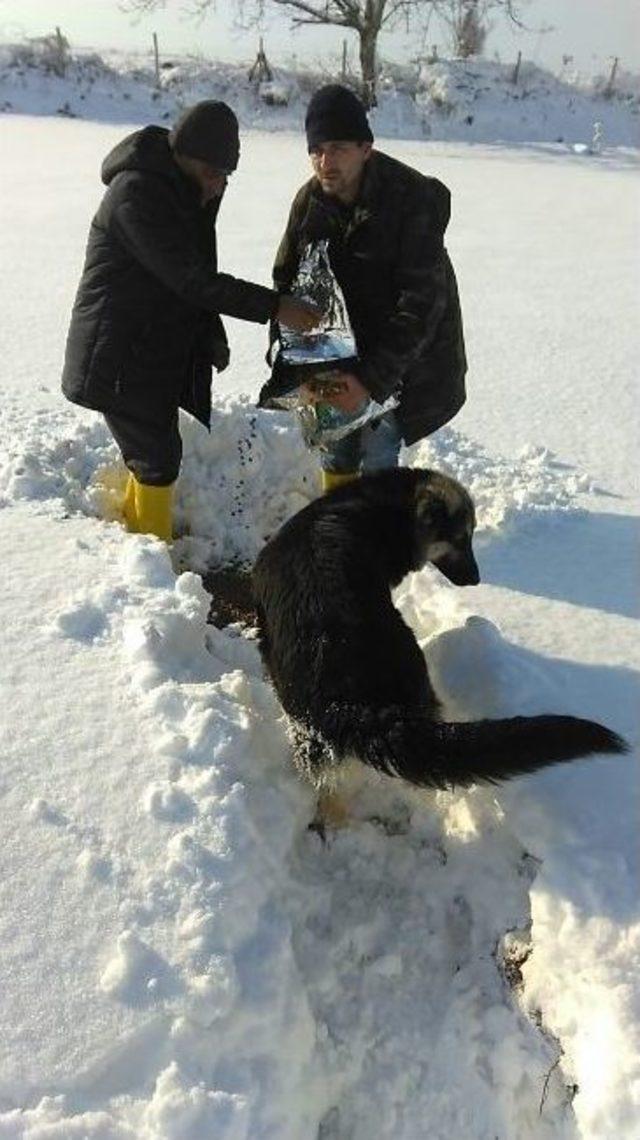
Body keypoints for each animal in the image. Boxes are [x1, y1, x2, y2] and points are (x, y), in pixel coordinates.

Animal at [252, 462, 625, 802]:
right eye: (460, 539)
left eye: (471, 537)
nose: (476, 580)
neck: (385, 506)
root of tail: (350, 702)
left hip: (311, 737)